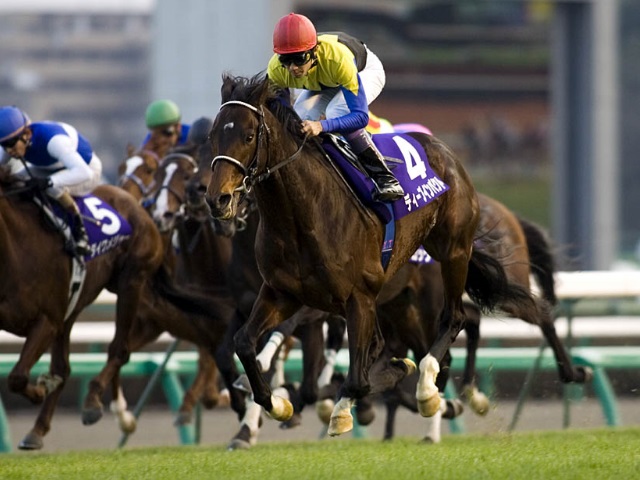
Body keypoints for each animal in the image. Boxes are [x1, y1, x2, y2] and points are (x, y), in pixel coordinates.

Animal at [0, 174, 222, 450]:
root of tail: (136, 204)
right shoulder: (52, 317)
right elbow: (23, 375)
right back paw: (38, 430)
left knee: (121, 348)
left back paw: (95, 403)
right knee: (65, 367)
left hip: (132, 281)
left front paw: (41, 389)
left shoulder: (47, 320)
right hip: (105, 303)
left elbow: (18, 376)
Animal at [205, 73, 536, 436]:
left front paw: (345, 405)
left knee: (454, 320)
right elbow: (244, 343)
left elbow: (358, 379)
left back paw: (427, 388)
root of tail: (444, 150)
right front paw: (278, 404)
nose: (217, 200)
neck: (302, 216)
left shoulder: (357, 297)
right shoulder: (282, 293)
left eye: (249, 136)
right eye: (213, 135)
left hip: (450, 254)